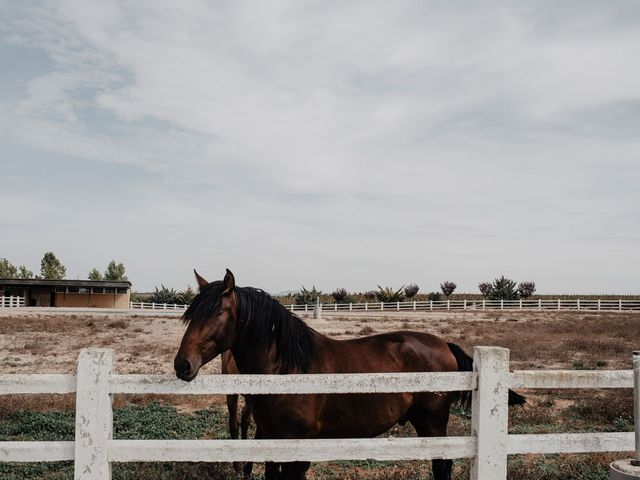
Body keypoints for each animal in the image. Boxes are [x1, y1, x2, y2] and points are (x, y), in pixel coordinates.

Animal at [175, 270, 524, 480]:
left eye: (218, 313)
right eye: (191, 314)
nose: (183, 365)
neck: (288, 369)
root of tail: (443, 344)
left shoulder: (298, 450)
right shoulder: (269, 441)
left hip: (433, 424)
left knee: (442, 464)